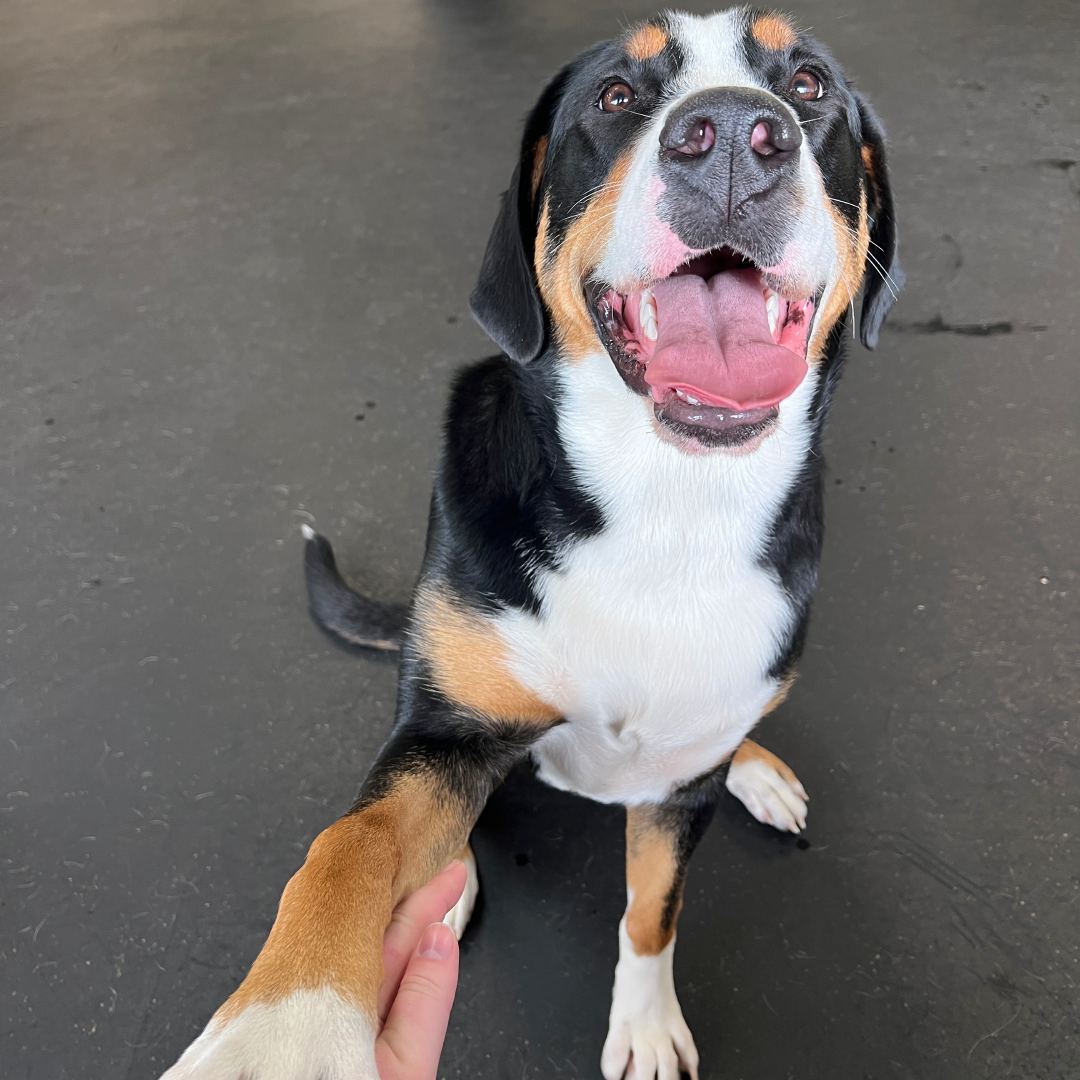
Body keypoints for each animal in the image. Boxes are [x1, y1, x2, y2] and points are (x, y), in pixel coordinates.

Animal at [162, 10, 902, 1080]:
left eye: (807, 85)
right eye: (616, 96)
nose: (734, 134)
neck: (664, 503)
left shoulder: (679, 786)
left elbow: (654, 907)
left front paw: (645, 1021)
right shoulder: (446, 734)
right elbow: (349, 847)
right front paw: (280, 1034)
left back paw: (755, 766)